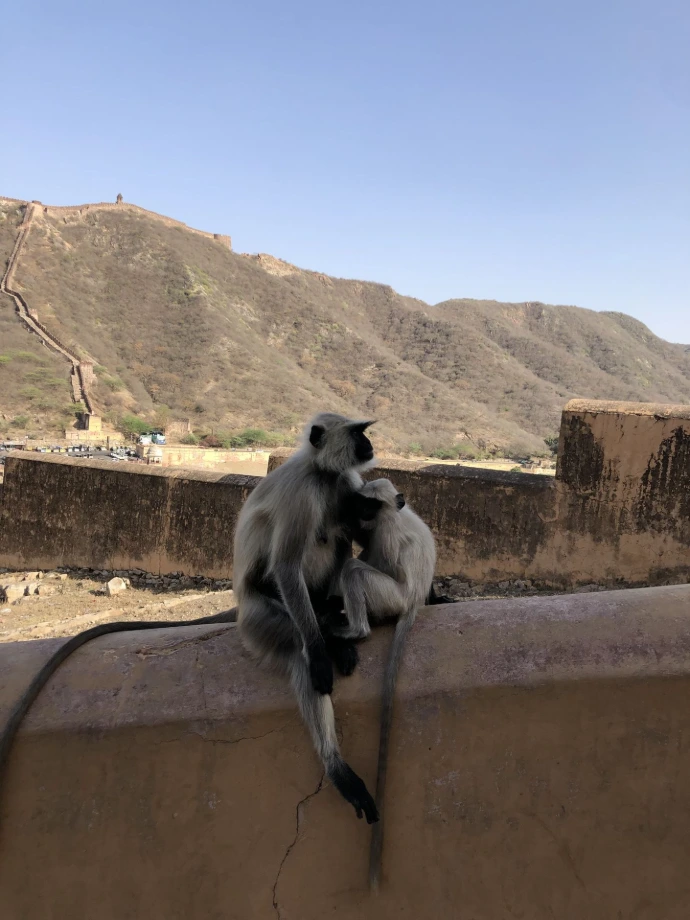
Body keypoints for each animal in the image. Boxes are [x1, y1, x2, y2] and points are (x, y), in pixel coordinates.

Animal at [233, 412, 380, 825]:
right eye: (357, 432)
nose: (369, 444)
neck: (321, 471)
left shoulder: (345, 482)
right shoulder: (303, 493)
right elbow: (285, 566)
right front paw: (320, 649)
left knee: (336, 532)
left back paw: (329, 619)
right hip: (259, 618)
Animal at [332, 478, 436, 888]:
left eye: (371, 506)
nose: (361, 515)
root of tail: (412, 605)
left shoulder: (387, 531)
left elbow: (379, 563)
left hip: (392, 598)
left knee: (357, 571)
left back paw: (357, 629)